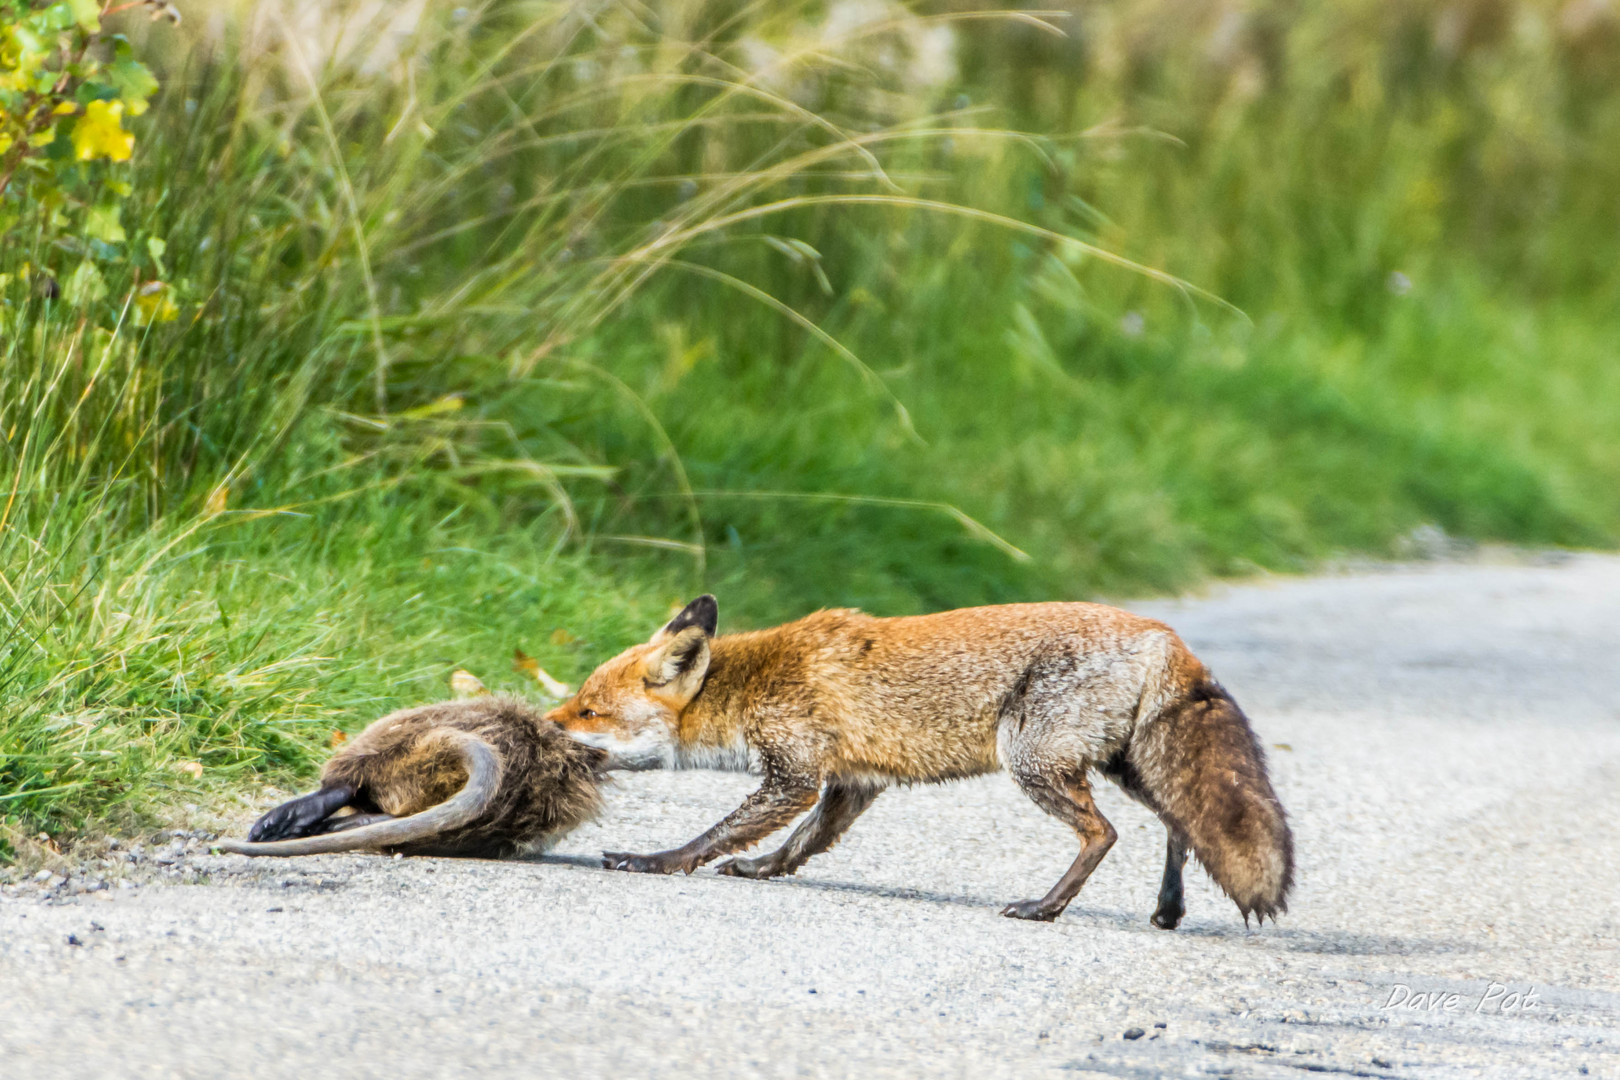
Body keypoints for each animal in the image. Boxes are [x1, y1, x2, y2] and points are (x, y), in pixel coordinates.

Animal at [550, 595, 1296, 926]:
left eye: (588, 711)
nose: (541, 721)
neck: (751, 683)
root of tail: (1164, 634)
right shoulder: (852, 783)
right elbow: (802, 843)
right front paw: (763, 869)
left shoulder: (796, 774)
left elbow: (715, 833)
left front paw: (655, 861)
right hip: (1123, 764)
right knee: (1179, 825)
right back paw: (1168, 909)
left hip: (1031, 759)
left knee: (1104, 833)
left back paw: (1046, 907)